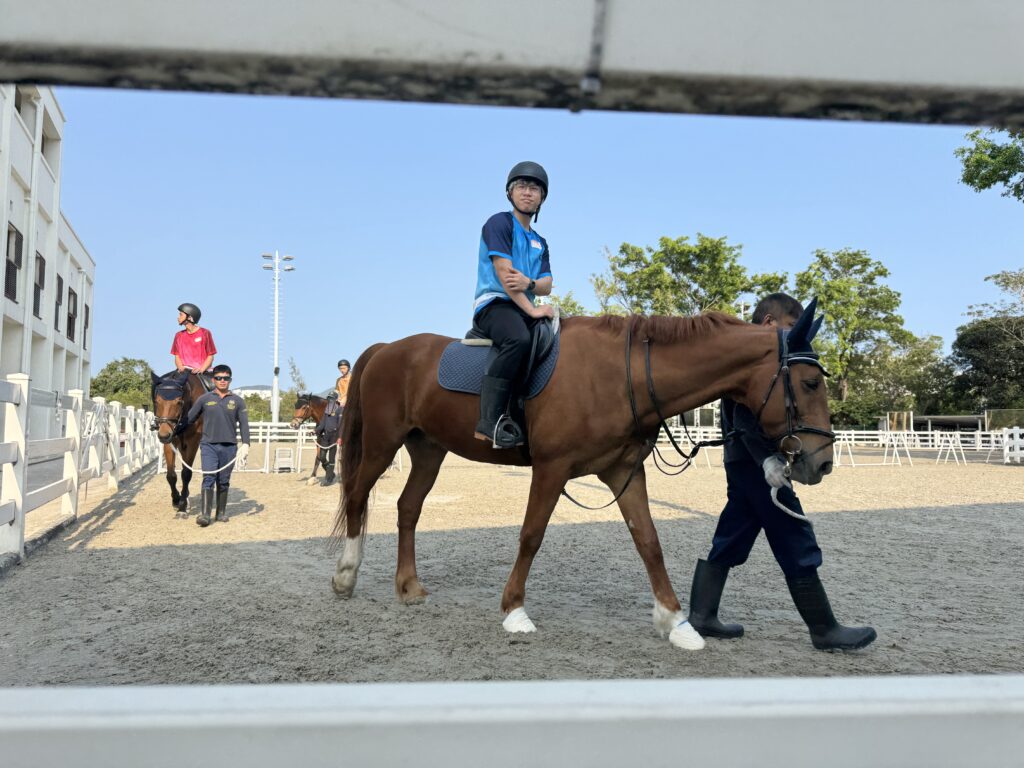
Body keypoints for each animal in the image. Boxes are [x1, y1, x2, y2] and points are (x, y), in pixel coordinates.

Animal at [150, 371, 205, 517]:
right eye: (156, 401)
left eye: (179, 402)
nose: (163, 435)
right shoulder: (171, 442)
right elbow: (171, 475)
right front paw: (176, 500)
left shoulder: (192, 442)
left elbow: (186, 474)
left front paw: (182, 506)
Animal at [331, 300, 833, 652]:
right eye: (810, 383)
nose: (823, 462)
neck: (621, 374)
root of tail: (388, 349)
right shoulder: (551, 470)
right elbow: (531, 535)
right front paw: (514, 610)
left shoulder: (623, 472)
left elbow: (648, 541)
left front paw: (675, 622)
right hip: (381, 445)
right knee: (356, 497)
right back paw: (346, 577)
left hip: (429, 450)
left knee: (408, 508)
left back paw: (408, 587)